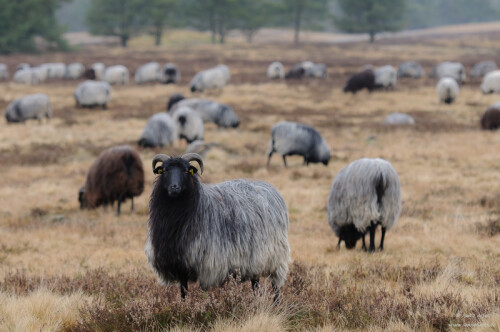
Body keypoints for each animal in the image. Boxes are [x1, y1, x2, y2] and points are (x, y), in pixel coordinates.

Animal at [146, 153, 290, 300]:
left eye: (186, 170)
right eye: (164, 171)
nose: (174, 188)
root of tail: (268, 187)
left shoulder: (207, 265)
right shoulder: (179, 265)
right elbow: (183, 291)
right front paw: (184, 304)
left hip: (275, 256)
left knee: (275, 285)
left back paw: (275, 303)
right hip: (254, 259)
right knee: (255, 284)